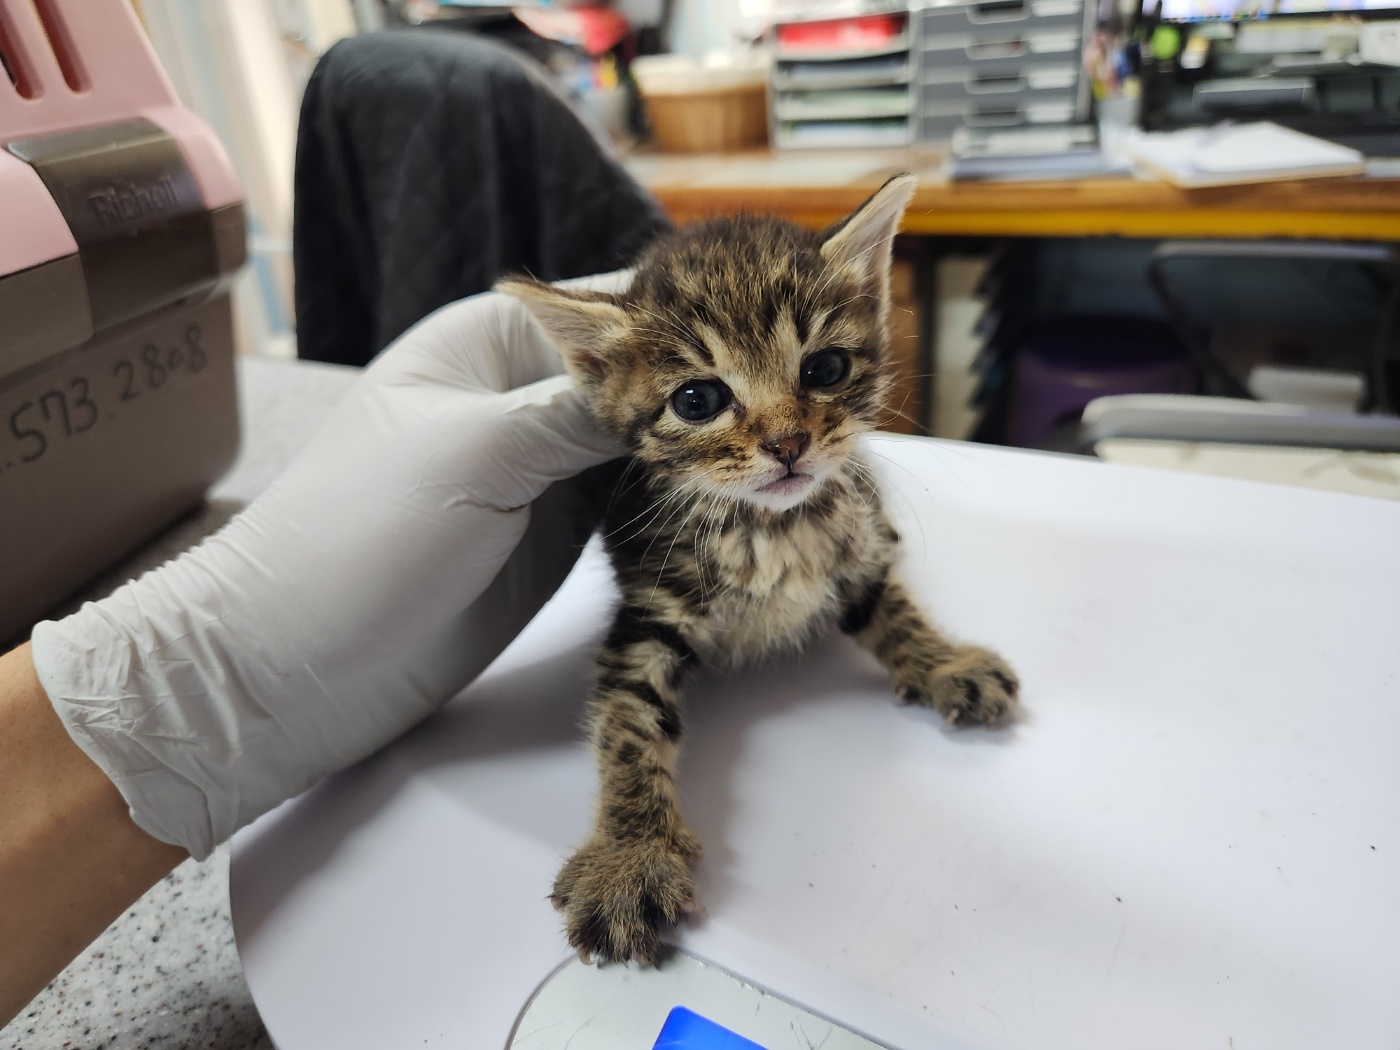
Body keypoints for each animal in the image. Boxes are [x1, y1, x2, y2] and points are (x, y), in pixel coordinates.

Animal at [501, 175, 1019, 968]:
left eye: (825, 368)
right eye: (697, 400)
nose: (788, 443)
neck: (769, 529)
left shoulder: (854, 554)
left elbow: (894, 608)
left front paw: (943, 661)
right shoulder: (646, 613)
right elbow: (628, 727)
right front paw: (629, 857)